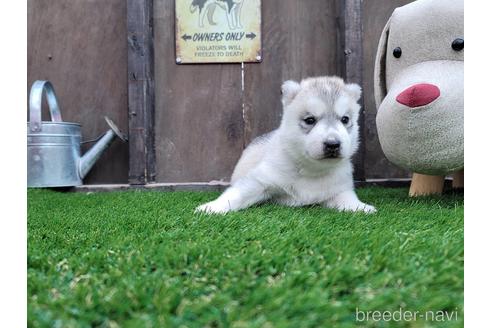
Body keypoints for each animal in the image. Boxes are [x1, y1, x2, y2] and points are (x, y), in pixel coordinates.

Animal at [197, 77, 376, 215]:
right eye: (310, 120)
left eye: (345, 119)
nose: (333, 144)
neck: (310, 170)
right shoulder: (260, 180)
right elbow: (236, 194)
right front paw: (211, 207)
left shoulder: (339, 189)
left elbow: (348, 199)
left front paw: (362, 207)